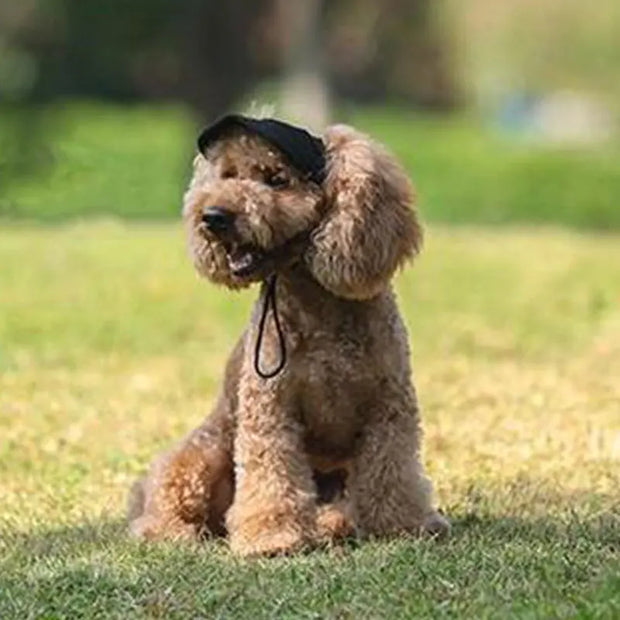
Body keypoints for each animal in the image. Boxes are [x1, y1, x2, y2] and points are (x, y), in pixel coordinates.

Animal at [128, 114, 450, 556]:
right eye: (228, 175)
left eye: (277, 179)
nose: (213, 216)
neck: (318, 307)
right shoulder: (271, 412)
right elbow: (271, 476)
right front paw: (271, 538)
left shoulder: (388, 408)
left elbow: (393, 473)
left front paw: (404, 526)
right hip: (199, 456)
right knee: (163, 502)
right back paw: (172, 531)